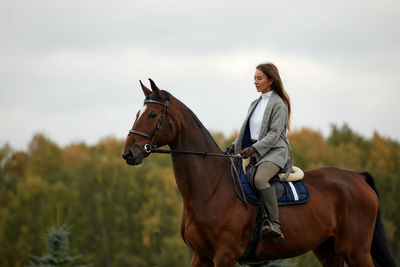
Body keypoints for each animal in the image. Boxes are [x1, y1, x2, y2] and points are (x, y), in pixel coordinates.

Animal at [120, 80, 396, 267]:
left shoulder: (225, 255)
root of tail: (357, 177)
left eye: (152, 114)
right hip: (328, 250)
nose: (129, 153)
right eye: (137, 114)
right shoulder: (201, 256)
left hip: (356, 250)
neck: (211, 188)